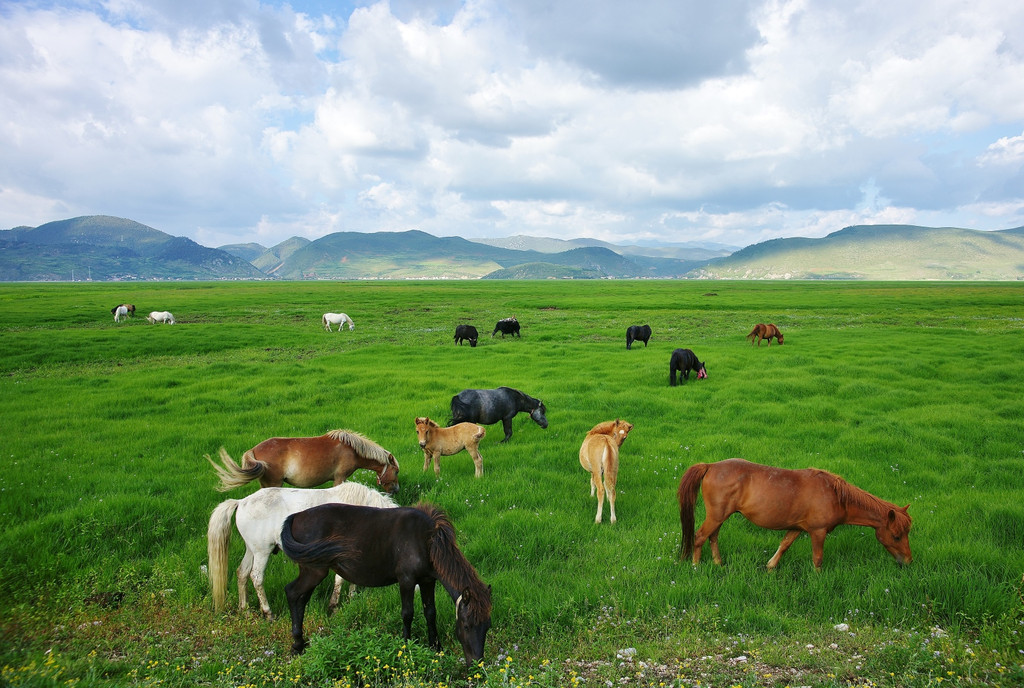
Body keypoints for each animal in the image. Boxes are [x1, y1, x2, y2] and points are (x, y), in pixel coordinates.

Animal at [204, 430, 399, 495]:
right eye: (396, 471)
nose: (395, 490)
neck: (351, 449)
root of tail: (253, 450)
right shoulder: (340, 477)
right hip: (274, 483)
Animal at [205, 481, 397, 622]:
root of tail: (241, 502)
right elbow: (340, 580)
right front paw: (333, 607)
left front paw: (352, 599)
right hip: (262, 552)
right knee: (256, 577)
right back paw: (268, 613)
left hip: (251, 550)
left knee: (242, 573)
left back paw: (244, 609)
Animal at [278, 501, 489, 663]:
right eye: (467, 626)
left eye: (487, 626)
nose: (477, 663)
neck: (426, 540)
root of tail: (296, 516)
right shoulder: (406, 580)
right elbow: (408, 614)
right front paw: (406, 646)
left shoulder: (428, 581)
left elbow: (430, 613)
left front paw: (436, 648)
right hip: (314, 570)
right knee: (292, 593)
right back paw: (297, 645)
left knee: (300, 599)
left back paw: (300, 643)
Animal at [679, 458, 913, 565]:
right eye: (896, 536)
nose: (908, 561)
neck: (835, 496)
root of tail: (711, 465)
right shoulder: (817, 532)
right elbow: (817, 558)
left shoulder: (797, 527)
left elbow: (784, 546)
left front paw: (770, 566)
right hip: (716, 516)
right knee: (700, 536)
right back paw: (696, 565)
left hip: (720, 517)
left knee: (713, 537)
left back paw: (718, 563)